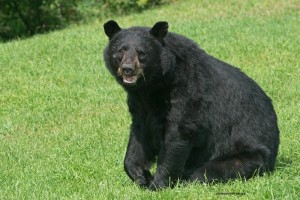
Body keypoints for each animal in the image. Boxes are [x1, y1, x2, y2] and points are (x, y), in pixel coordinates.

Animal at [102, 20, 278, 191]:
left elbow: (178, 133)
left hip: (247, 154)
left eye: (142, 53)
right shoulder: (140, 105)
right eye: (120, 51)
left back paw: (186, 179)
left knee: (206, 171)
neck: (152, 86)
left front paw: (157, 185)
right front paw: (141, 175)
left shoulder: (186, 91)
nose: (128, 69)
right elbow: (138, 135)